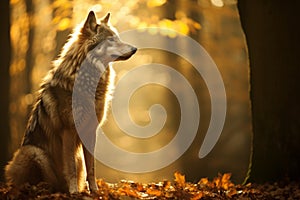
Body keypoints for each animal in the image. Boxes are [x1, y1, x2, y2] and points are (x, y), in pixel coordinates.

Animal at [4, 11, 137, 194]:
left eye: (117, 38)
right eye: (111, 40)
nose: (135, 49)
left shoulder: (90, 131)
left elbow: (92, 168)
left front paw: (94, 191)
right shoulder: (68, 130)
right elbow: (71, 166)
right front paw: (74, 191)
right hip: (34, 152)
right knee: (33, 181)